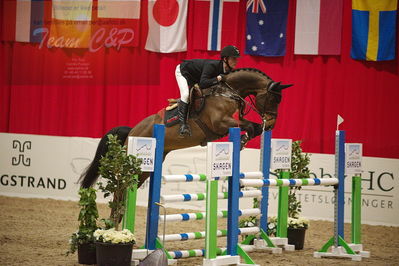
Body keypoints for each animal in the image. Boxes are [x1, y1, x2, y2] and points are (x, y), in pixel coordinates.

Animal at [79, 68, 292, 189]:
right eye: (274, 99)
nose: (272, 123)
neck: (225, 92)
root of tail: (131, 132)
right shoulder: (220, 123)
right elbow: (249, 126)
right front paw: (244, 139)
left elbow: (254, 127)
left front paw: (245, 139)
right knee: (121, 189)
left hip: (147, 167)